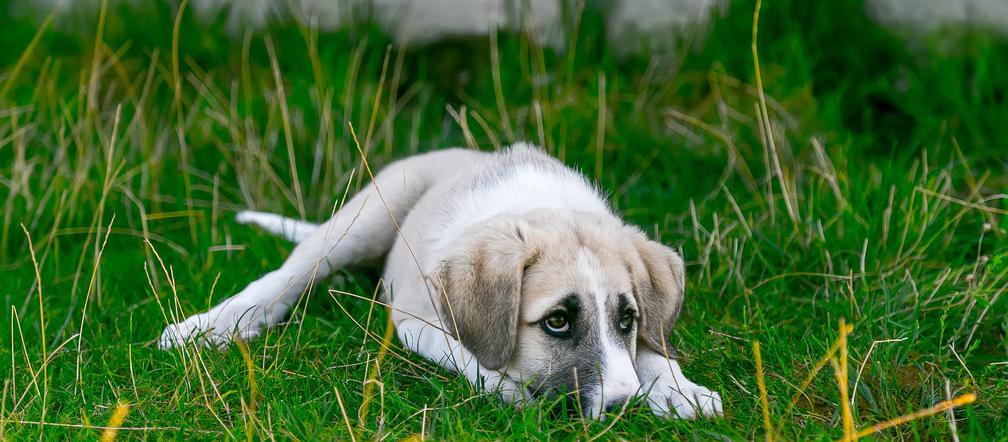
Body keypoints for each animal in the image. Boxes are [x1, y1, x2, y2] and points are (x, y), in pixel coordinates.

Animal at [157, 144, 721, 417]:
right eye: (558, 321)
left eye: (627, 319)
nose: (626, 408)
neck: (539, 207)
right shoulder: (414, 321)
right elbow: (470, 355)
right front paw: (509, 389)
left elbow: (651, 348)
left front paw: (679, 389)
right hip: (367, 214)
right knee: (287, 276)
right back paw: (212, 326)